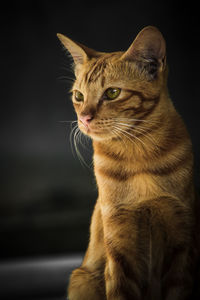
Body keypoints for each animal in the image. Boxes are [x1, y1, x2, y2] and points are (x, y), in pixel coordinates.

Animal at [57, 26, 199, 300]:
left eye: (112, 93)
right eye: (79, 96)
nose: (84, 118)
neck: (138, 157)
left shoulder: (181, 241)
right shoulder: (119, 242)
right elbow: (120, 288)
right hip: (82, 279)